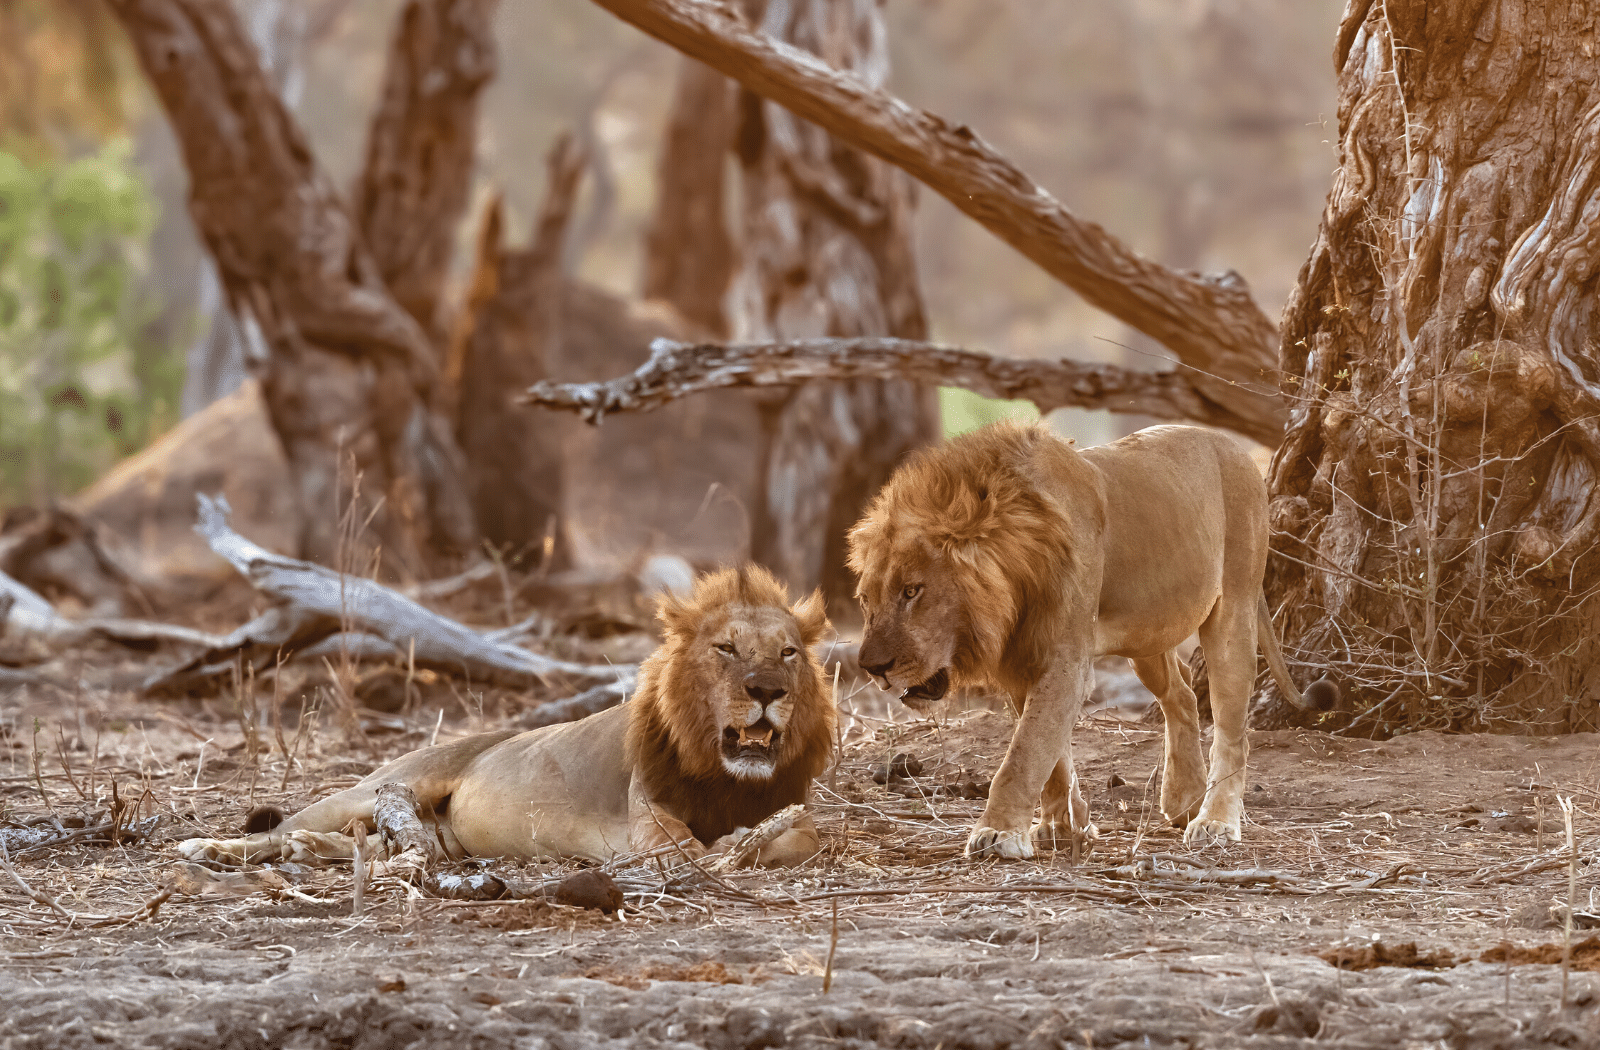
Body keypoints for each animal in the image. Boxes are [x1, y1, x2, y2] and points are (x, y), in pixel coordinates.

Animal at [181, 566, 838, 870]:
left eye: (788, 653)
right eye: (726, 649)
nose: (767, 689)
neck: (726, 775)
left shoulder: (793, 808)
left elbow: (799, 839)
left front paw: (741, 840)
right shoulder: (646, 820)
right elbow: (681, 846)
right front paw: (719, 846)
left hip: (440, 843)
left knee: (369, 845)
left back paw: (304, 852)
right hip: (384, 786)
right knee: (280, 829)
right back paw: (209, 847)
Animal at [851, 419, 1312, 864]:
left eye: (912, 591)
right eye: (865, 599)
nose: (873, 668)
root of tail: (1233, 447)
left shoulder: (1065, 661)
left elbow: (1024, 754)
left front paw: (999, 834)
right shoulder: (1022, 661)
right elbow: (1049, 754)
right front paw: (1062, 826)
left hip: (1234, 607)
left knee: (1232, 730)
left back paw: (1215, 821)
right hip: (1148, 635)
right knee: (1181, 693)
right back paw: (1185, 799)